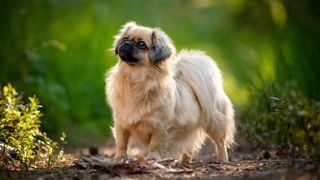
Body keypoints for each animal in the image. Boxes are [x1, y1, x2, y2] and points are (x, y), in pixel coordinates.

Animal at [105, 21, 235, 162]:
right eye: (125, 39)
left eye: (141, 44)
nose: (126, 44)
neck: (136, 81)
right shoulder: (121, 124)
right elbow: (122, 144)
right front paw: (119, 158)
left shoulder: (160, 127)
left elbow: (155, 145)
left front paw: (153, 159)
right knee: (189, 146)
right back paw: (185, 161)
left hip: (213, 122)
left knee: (220, 142)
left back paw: (223, 160)